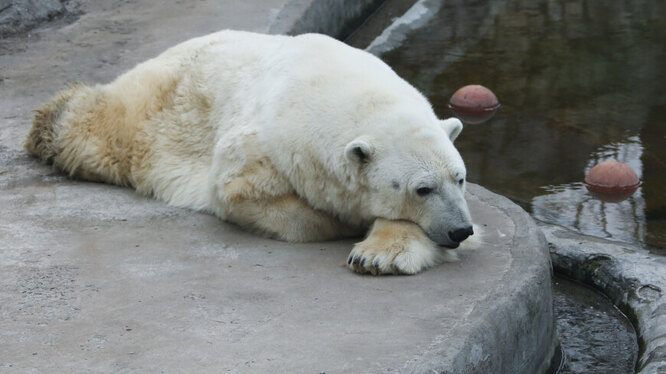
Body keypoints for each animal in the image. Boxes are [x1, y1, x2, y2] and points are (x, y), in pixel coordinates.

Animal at [24, 30, 472, 274]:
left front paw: (378, 254)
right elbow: (243, 192)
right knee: (95, 129)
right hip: (151, 112)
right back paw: (52, 120)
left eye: (460, 178)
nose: (460, 229)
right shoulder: (271, 145)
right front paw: (345, 225)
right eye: (422, 189)